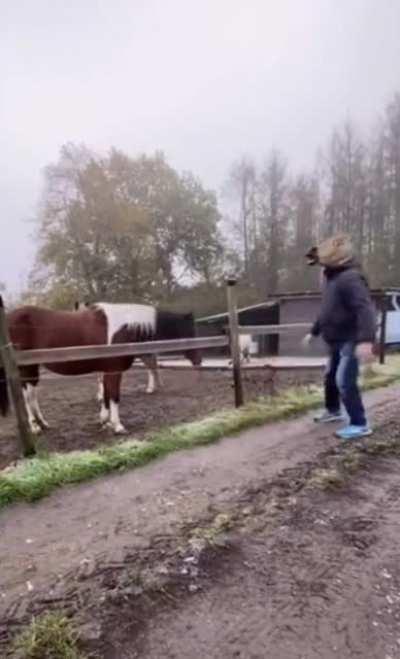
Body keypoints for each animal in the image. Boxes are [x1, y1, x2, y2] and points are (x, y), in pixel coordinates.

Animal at [0, 303, 202, 435]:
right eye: (190, 331)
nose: (199, 361)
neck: (124, 328)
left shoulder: (106, 370)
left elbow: (105, 395)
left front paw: (105, 421)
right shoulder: (114, 370)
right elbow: (114, 396)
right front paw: (117, 426)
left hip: (32, 368)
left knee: (31, 395)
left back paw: (43, 423)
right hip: (26, 368)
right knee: (26, 396)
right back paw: (34, 427)